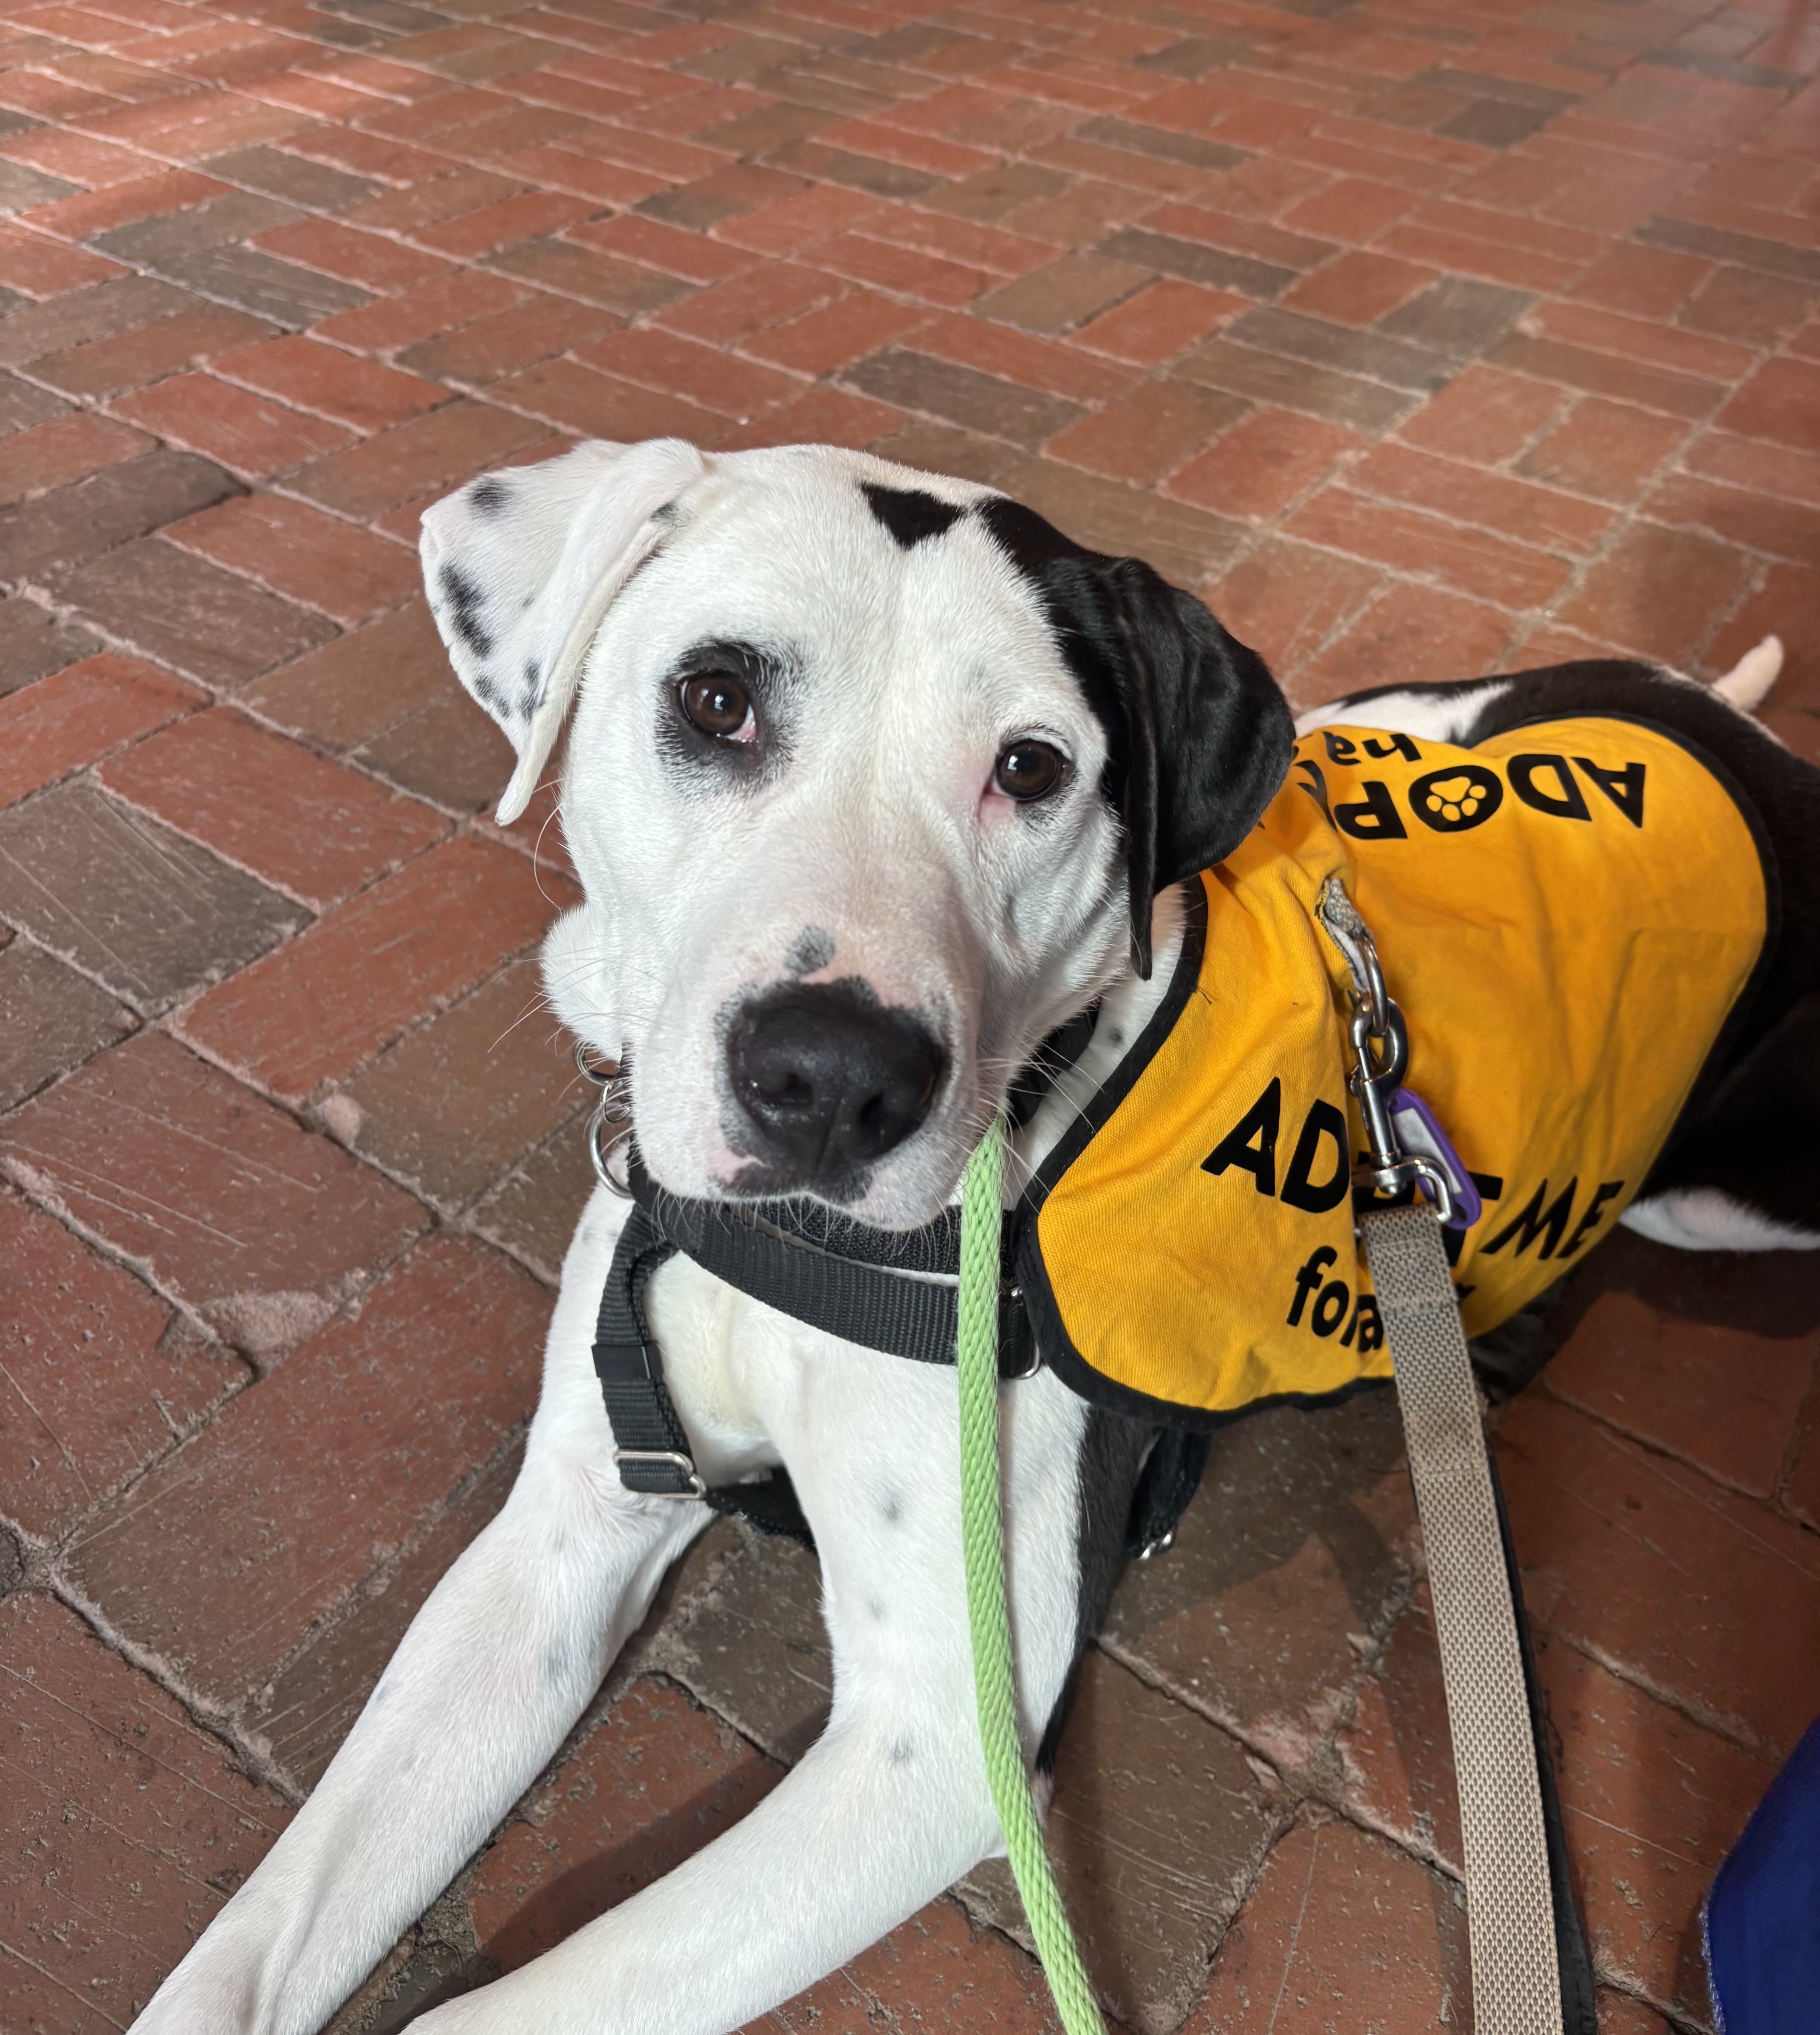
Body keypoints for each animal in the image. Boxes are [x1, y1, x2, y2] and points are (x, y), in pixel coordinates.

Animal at [136, 440, 1818, 2035]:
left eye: (1032, 766)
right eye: (714, 698)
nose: (831, 1078)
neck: (801, 1250)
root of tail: (1729, 730)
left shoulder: (935, 1743)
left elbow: (484, 2012)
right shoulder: (559, 1537)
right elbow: (242, 1960)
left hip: (1712, 1188)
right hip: (1376, 718)